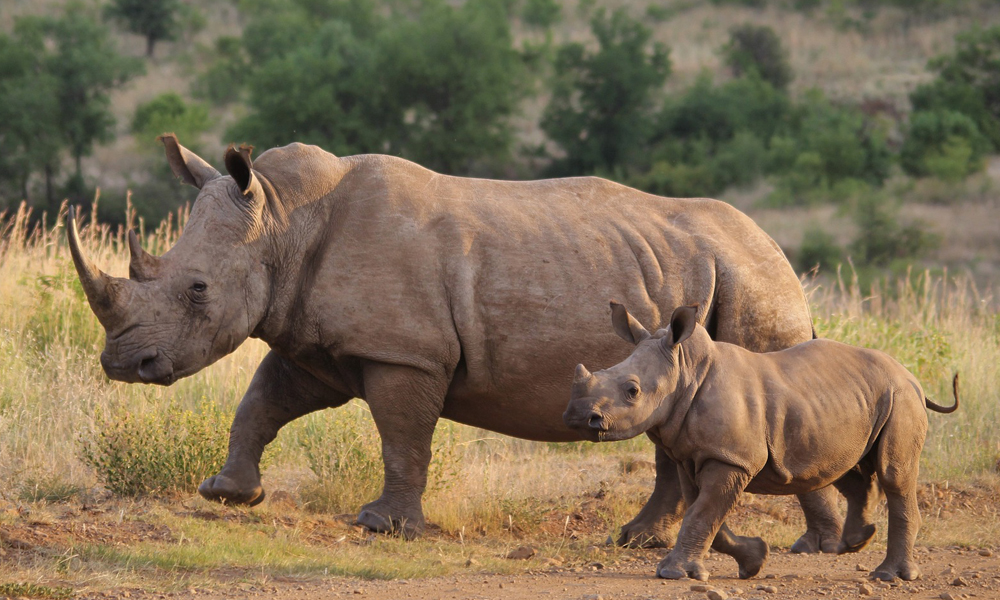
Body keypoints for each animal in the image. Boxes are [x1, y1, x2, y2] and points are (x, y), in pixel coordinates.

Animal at [64, 137, 844, 552]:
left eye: (197, 289)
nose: (122, 364)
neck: (282, 222)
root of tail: (777, 250)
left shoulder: (404, 351)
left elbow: (402, 435)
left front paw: (384, 528)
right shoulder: (316, 341)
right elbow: (262, 402)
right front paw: (228, 494)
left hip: (751, 284)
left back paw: (807, 545)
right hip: (704, 282)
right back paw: (640, 540)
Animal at [568, 304, 956, 580]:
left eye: (632, 391)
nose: (576, 416)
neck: (685, 370)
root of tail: (911, 376)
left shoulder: (731, 458)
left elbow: (702, 513)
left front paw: (671, 573)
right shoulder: (693, 456)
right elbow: (705, 514)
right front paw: (755, 560)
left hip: (900, 397)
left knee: (893, 474)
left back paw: (889, 576)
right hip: (855, 401)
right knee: (843, 467)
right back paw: (856, 542)